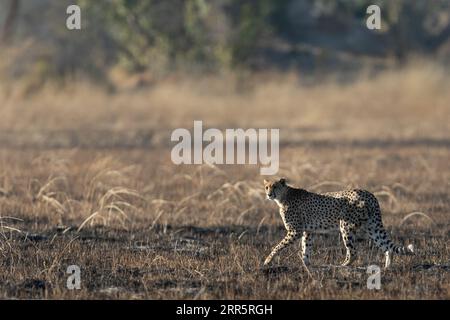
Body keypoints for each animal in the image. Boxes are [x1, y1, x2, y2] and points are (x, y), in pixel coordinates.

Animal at [264, 179, 414, 268]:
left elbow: (278, 246)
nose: (269, 194)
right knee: (386, 247)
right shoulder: (309, 231)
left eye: (275, 186)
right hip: (372, 227)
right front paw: (307, 265)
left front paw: (267, 260)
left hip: (346, 226)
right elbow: (306, 248)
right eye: (266, 187)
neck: (283, 196)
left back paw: (342, 265)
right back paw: (387, 267)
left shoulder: (295, 231)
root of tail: (369, 194)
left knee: (353, 252)